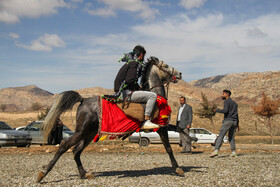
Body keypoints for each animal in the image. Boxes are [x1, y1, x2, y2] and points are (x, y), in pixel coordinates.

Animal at [36, 56, 190, 183]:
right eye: (166, 66)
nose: (180, 74)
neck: (155, 94)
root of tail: (83, 100)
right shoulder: (160, 127)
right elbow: (169, 148)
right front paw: (178, 169)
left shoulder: (163, 125)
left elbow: (178, 128)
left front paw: (190, 139)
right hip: (82, 132)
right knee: (64, 146)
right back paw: (42, 173)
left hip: (89, 134)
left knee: (76, 151)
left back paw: (84, 174)